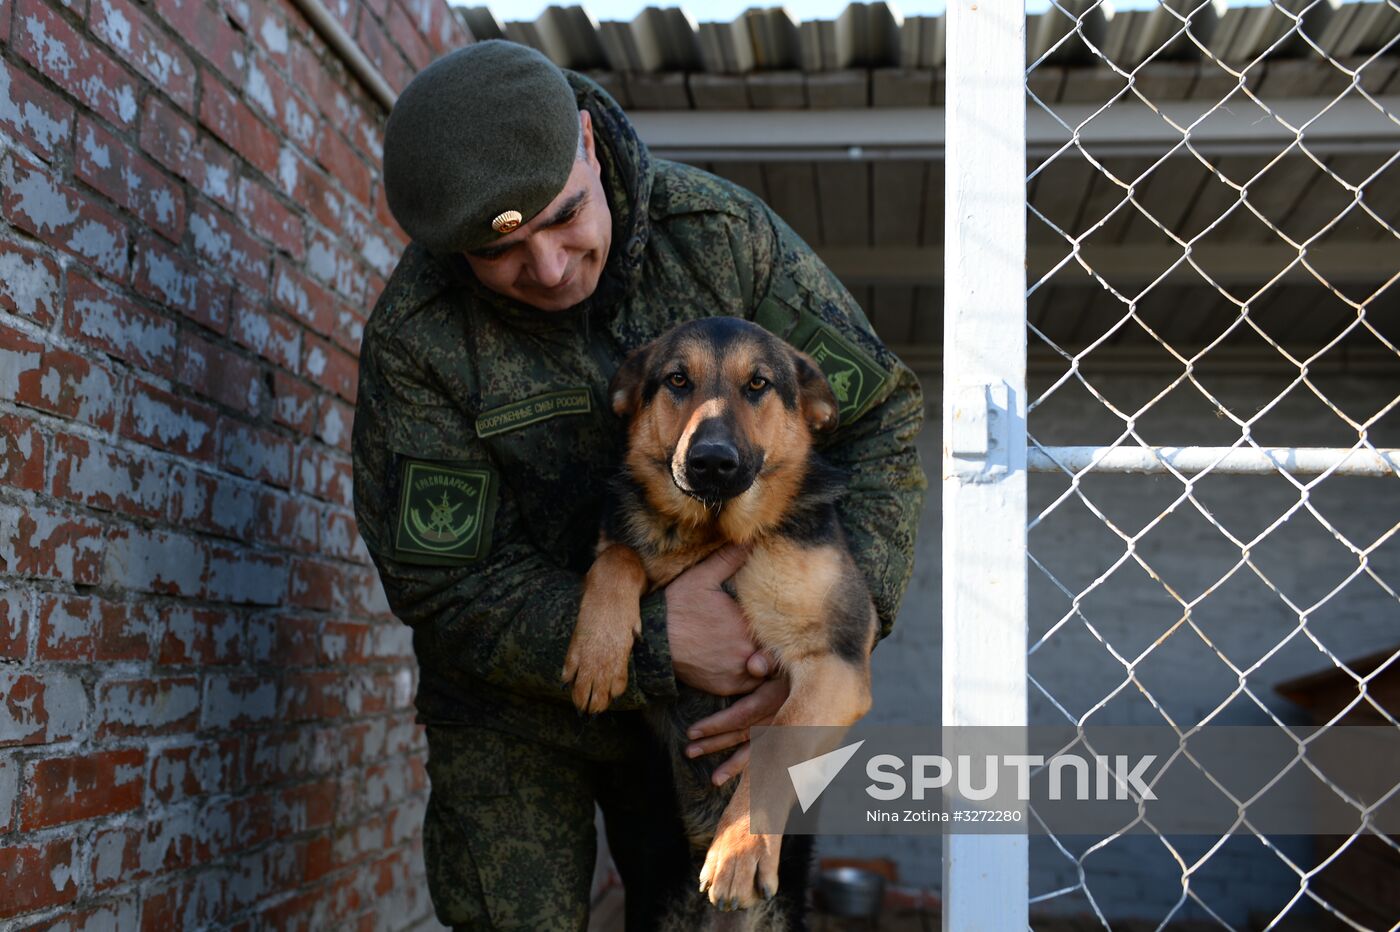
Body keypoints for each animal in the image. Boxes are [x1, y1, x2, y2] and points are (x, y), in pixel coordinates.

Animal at [560, 316, 873, 923]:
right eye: (678, 380)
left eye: (758, 384)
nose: (711, 461)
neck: (713, 530)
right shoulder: (625, 546)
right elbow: (618, 556)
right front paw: (597, 654)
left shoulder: (835, 661)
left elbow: (774, 743)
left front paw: (739, 849)